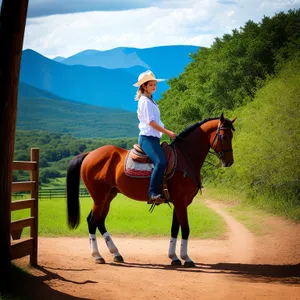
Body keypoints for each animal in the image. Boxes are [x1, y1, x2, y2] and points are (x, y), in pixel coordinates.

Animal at [67, 112, 236, 268]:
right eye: (223, 136)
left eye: (232, 136)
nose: (229, 162)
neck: (185, 157)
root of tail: (90, 154)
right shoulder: (181, 202)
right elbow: (185, 229)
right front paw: (186, 258)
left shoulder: (179, 203)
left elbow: (174, 229)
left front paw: (174, 257)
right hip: (99, 196)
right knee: (92, 221)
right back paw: (97, 256)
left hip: (108, 196)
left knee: (99, 221)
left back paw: (116, 254)